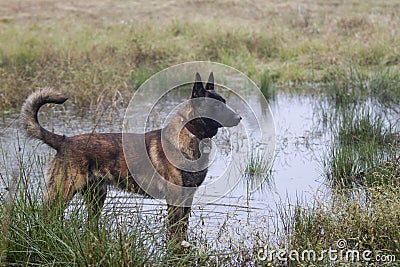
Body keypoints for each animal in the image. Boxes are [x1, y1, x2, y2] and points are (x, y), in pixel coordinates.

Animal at [21, 73, 241, 243]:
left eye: (224, 103)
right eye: (216, 106)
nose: (239, 117)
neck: (190, 135)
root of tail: (64, 141)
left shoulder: (187, 198)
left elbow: (182, 230)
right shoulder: (175, 200)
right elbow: (174, 233)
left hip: (96, 198)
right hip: (61, 193)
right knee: (45, 217)